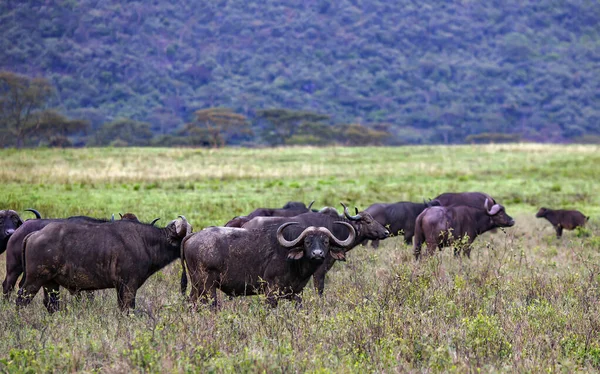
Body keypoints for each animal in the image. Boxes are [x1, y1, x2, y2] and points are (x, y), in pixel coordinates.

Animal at [15, 216, 190, 312]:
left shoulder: (120, 287)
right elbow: (129, 308)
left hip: (50, 283)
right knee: (21, 299)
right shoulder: (129, 285)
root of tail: (36, 233)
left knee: (51, 304)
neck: (144, 241)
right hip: (34, 280)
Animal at [180, 222, 354, 306]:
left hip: (196, 286)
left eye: (325, 241)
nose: (317, 254)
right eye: (307, 241)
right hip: (208, 286)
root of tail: (193, 236)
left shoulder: (296, 293)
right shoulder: (271, 292)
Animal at [239, 203, 390, 296]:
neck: (336, 229)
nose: (386, 232)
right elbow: (319, 289)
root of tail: (246, 225)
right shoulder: (319, 271)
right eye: (368, 221)